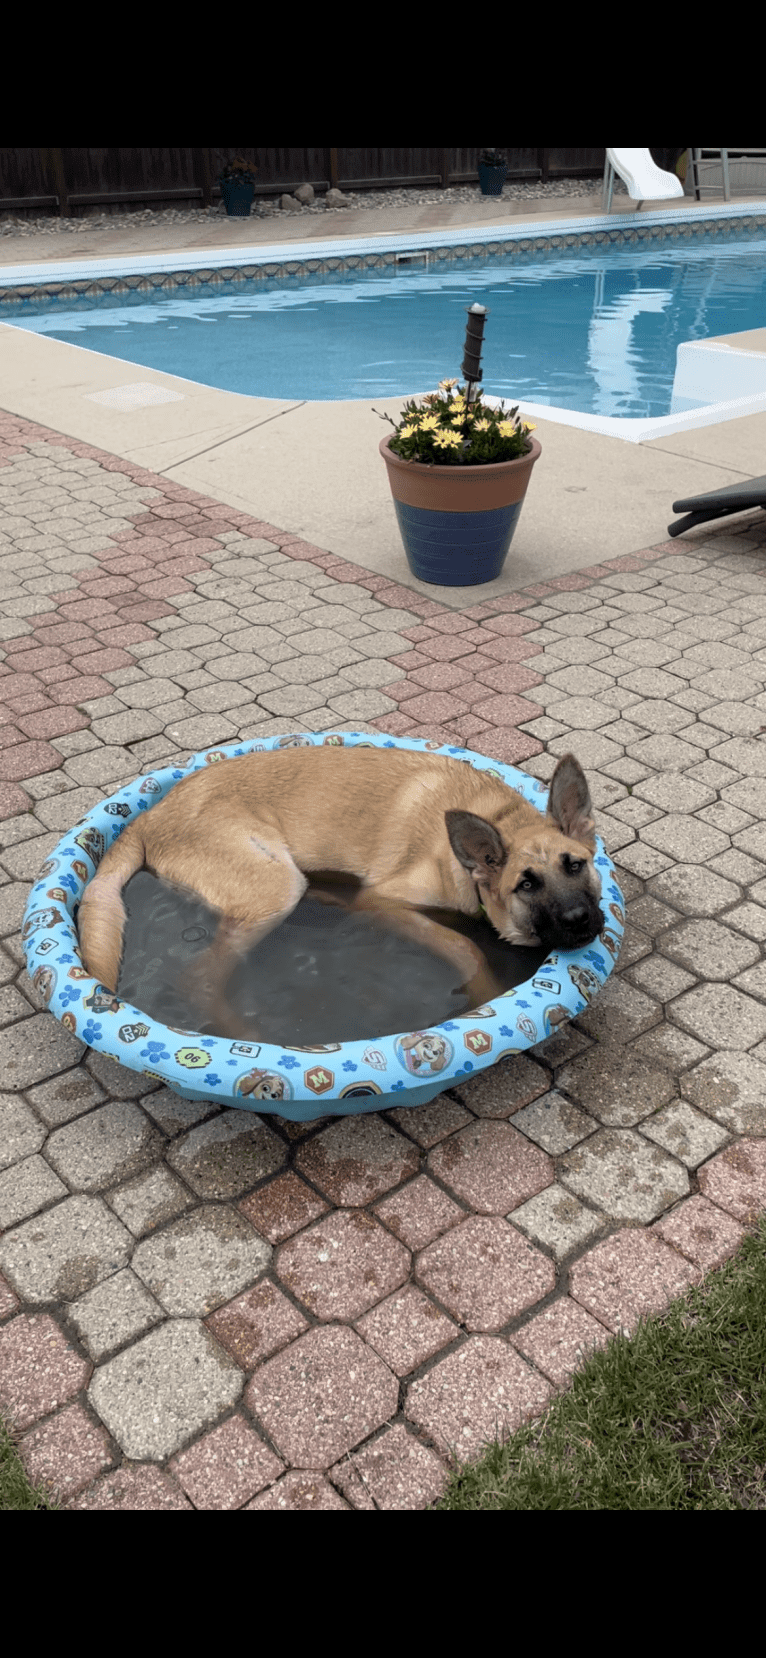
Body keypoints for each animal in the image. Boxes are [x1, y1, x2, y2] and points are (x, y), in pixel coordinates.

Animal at [79, 746, 603, 1027]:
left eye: (575, 865)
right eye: (526, 884)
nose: (581, 921)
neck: (499, 819)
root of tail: (148, 816)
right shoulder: (383, 901)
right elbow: (464, 946)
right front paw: (484, 992)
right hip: (276, 889)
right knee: (199, 978)